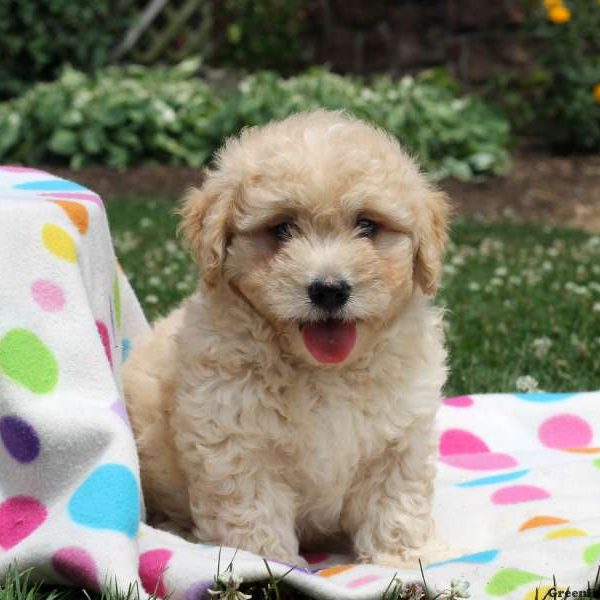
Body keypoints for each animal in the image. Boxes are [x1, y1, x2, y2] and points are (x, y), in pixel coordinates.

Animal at [122, 111, 450, 568]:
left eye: (367, 225)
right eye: (281, 229)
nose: (329, 290)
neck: (326, 372)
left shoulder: (399, 437)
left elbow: (395, 500)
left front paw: (400, 558)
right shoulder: (236, 442)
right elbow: (254, 511)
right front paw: (269, 565)